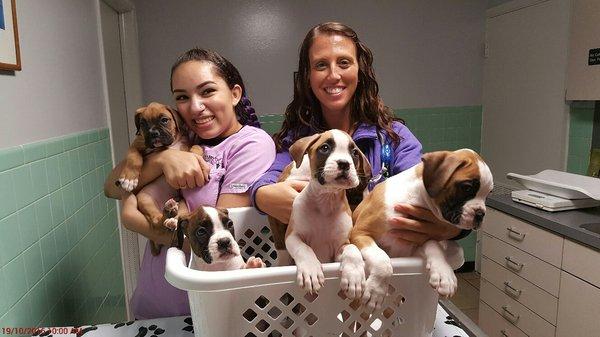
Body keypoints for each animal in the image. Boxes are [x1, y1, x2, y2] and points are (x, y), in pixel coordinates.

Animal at [280, 129, 370, 294]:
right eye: (325, 148)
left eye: (354, 153)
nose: (344, 163)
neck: (326, 202)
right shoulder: (292, 236)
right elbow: (304, 248)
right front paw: (311, 270)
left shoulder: (341, 245)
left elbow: (352, 249)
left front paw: (354, 275)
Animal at [350, 148, 494, 312]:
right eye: (467, 187)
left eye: (488, 194)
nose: (480, 214)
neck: (414, 198)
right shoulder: (360, 232)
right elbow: (382, 261)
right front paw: (376, 290)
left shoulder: (414, 244)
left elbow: (433, 244)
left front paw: (444, 273)